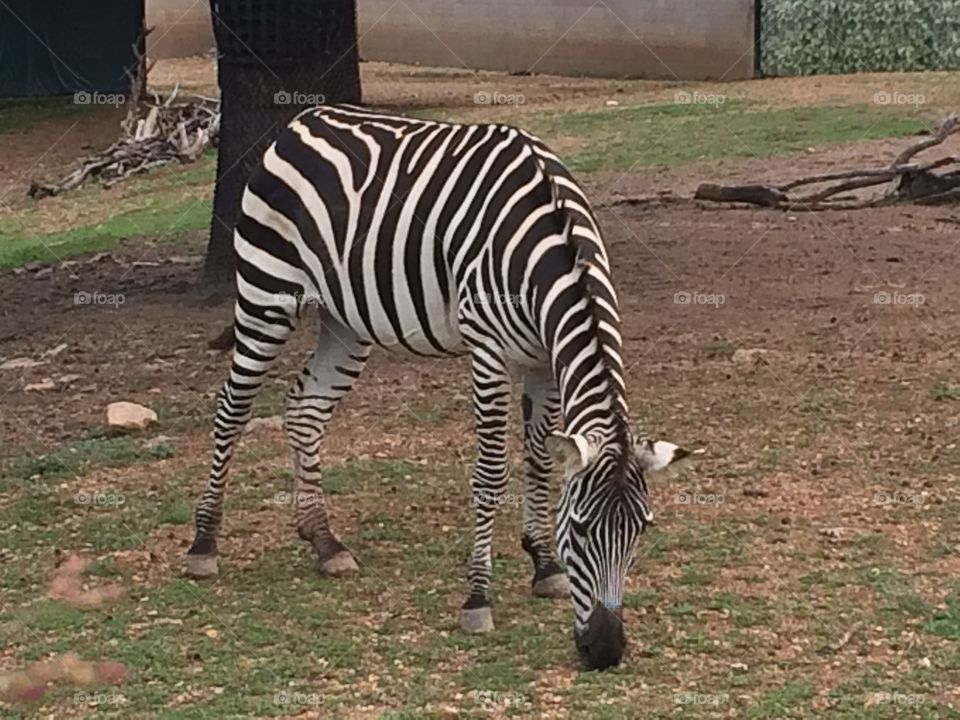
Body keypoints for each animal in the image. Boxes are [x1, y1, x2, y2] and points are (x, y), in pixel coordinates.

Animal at [185, 104, 691, 670]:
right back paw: (204, 545)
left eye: (642, 528)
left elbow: (540, 462)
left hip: (345, 322)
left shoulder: (542, 358)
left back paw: (325, 541)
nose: (604, 651)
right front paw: (478, 598)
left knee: (305, 409)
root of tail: (304, 119)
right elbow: (490, 473)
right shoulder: (489, 350)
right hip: (265, 294)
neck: (549, 248)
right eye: (580, 528)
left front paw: (543, 565)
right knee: (232, 408)